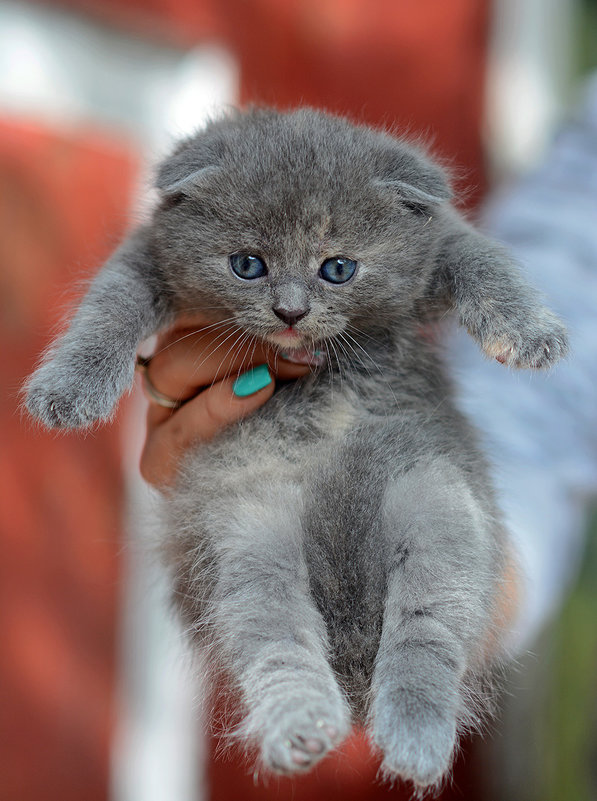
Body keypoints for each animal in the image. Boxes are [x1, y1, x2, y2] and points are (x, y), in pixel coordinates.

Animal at [25, 109, 568, 792]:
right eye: (247, 264)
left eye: (337, 269)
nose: (290, 311)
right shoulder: (147, 253)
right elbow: (108, 306)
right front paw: (68, 389)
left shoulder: (439, 239)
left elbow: (484, 260)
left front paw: (531, 336)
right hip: (248, 538)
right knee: (276, 635)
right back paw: (304, 729)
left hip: (440, 504)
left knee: (429, 632)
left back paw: (413, 735)